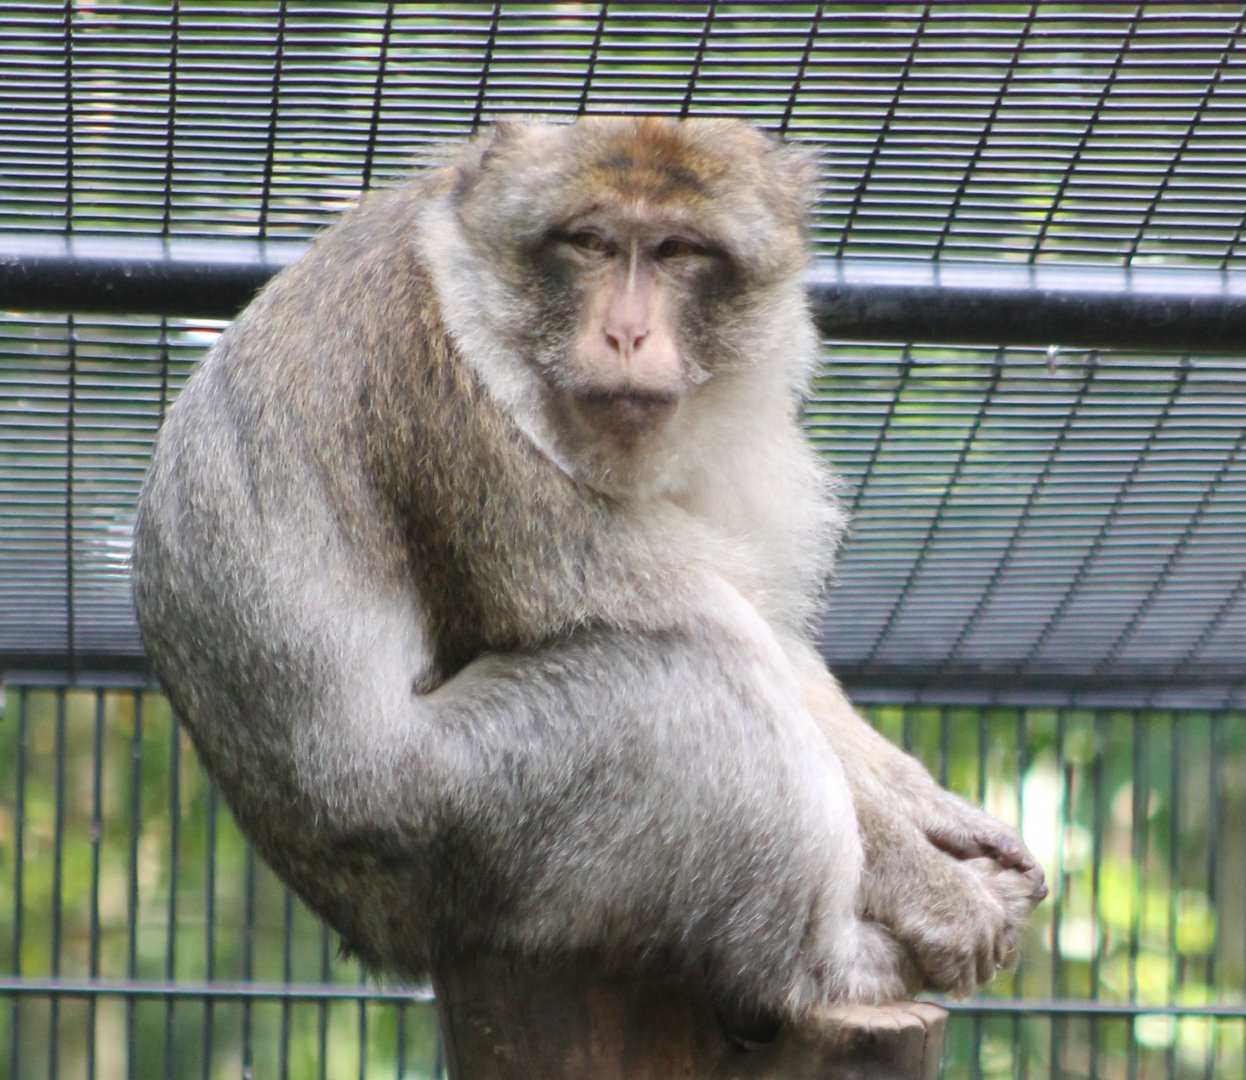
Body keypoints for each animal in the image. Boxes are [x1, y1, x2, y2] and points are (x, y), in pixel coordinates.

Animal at [131, 115, 1045, 1032]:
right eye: (591, 243)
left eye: (677, 250)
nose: (627, 335)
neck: (475, 288)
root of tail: (374, 931)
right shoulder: (454, 403)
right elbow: (714, 629)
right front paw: (933, 889)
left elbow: (775, 637)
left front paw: (937, 814)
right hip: (456, 827)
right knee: (694, 673)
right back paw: (827, 966)